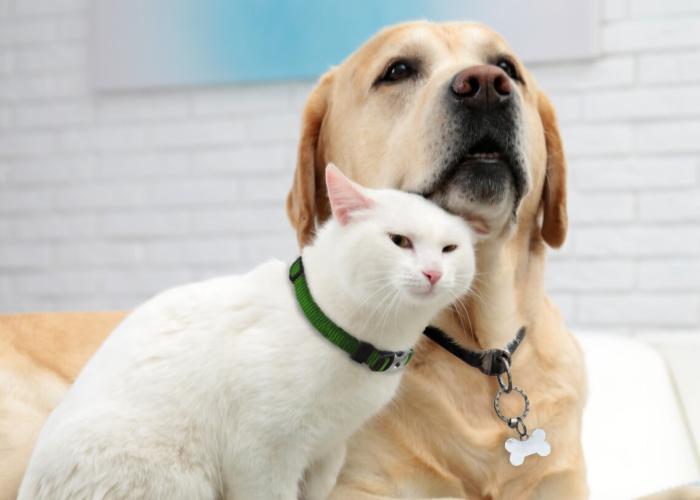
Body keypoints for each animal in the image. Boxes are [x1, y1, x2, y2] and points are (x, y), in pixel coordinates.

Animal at [17, 165, 476, 500]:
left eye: (450, 249)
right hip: (179, 477)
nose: (433, 273)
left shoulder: (328, 453)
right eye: (399, 241)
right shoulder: (261, 455)